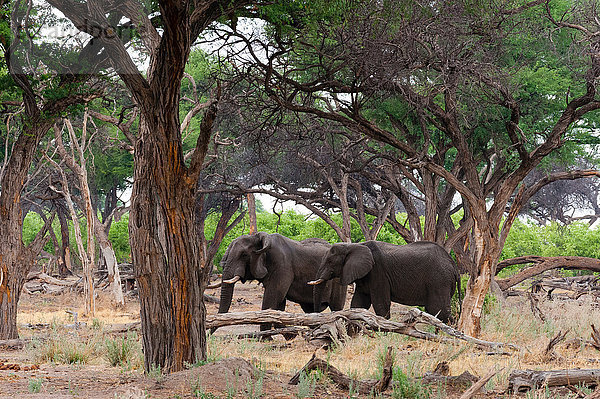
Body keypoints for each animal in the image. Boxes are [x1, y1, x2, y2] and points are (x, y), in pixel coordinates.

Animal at [217, 231, 346, 332]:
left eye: (244, 255)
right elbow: (279, 302)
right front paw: (287, 334)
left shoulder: (282, 266)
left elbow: (272, 297)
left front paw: (266, 339)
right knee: (309, 310)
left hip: (338, 280)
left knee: (336, 307)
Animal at [310, 239, 460, 324]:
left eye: (330, 262)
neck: (353, 246)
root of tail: (453, 265)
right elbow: (358, 304)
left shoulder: (378, 272)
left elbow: (380, 304)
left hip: (439, 280)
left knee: (439, 310)